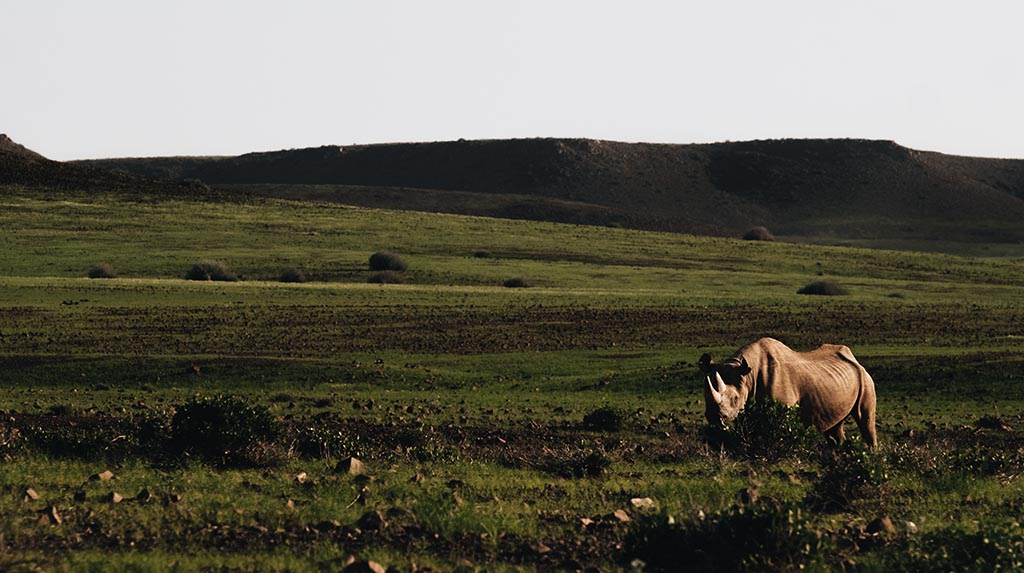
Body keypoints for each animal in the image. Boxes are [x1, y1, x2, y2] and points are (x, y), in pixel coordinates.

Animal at [699, 337, 877, 447]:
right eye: (705, 396)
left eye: (735, 399)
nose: (714, 417)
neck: (748, 376)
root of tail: (856, 361)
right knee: (834, 428)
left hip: (865, 379)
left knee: (865, 419)